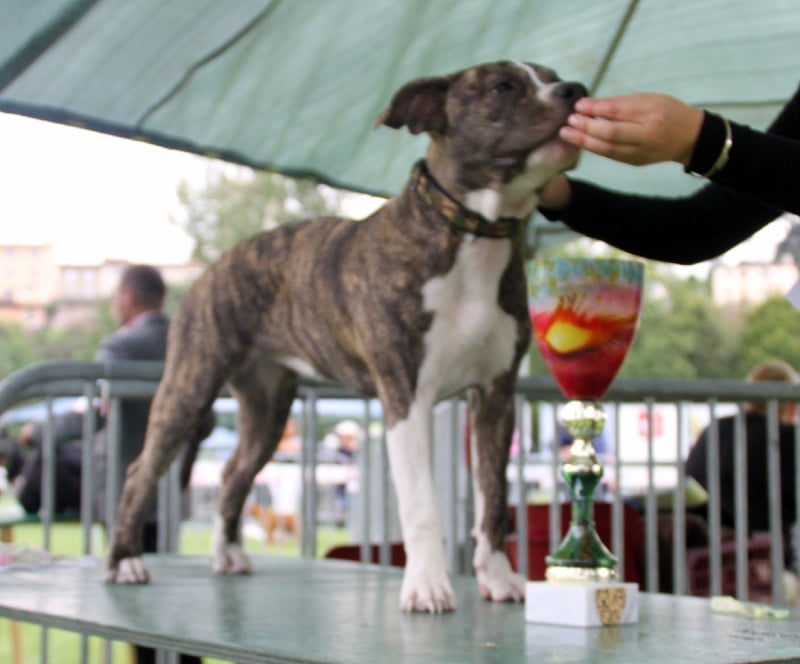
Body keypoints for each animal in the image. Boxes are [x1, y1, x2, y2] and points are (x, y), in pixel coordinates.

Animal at [106, 61, 584, 612]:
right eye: (502, 86)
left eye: (552, 75)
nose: (576, 90)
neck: (472, 234)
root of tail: (214, 266)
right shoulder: (406, 397)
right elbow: (422, 507)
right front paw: (427, 586)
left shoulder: (495, 397)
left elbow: (494, 500)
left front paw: (499, 578)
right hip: (189, 386)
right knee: (141, 471)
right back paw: (125, 561)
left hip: (268, 409)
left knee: (233, 474)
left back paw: (227, 554)